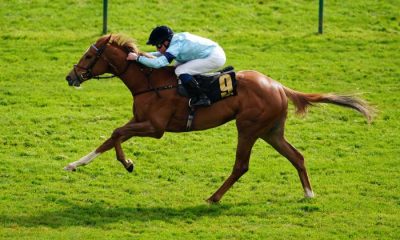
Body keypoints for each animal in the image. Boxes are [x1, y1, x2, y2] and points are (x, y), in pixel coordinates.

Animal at [64, 33, 374, 202]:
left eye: (89, 56)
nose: (70, 77)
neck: (149, 82)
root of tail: (277, 85)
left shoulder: (155, 127)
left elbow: (116, 133)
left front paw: (128, 163)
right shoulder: (141, 122)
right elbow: (110, 138)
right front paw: (74, 164)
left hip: (248, 128)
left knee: (241, 166)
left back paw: (213, 197)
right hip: (270, 131)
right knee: (296, 156)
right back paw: (309, 194)